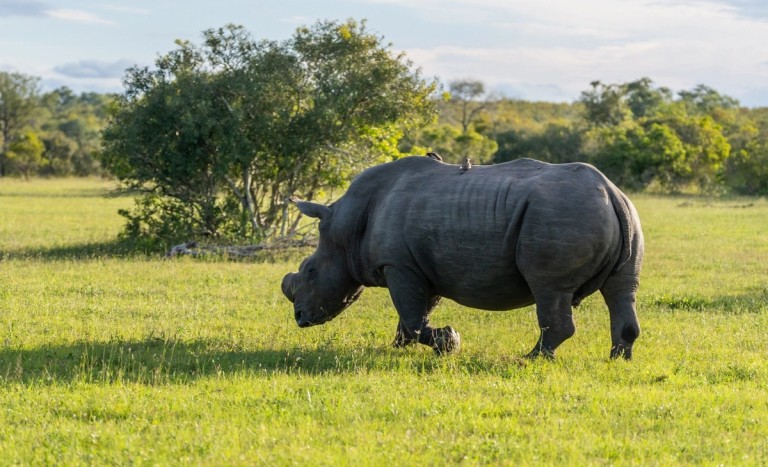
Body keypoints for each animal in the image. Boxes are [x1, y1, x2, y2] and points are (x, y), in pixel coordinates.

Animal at [281, 156, 643, 359]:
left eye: (310, 271)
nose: (299, 318)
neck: (346, 230)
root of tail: (611, 192)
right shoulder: (421, 266)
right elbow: (415, 314)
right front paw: (399, 348)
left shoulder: (399, 265)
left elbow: (413, 316)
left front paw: (449, 343)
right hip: (624, 215)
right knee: (621, 291)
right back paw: (618, 359)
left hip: (562, 214)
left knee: (549, 290)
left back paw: (532, 358)